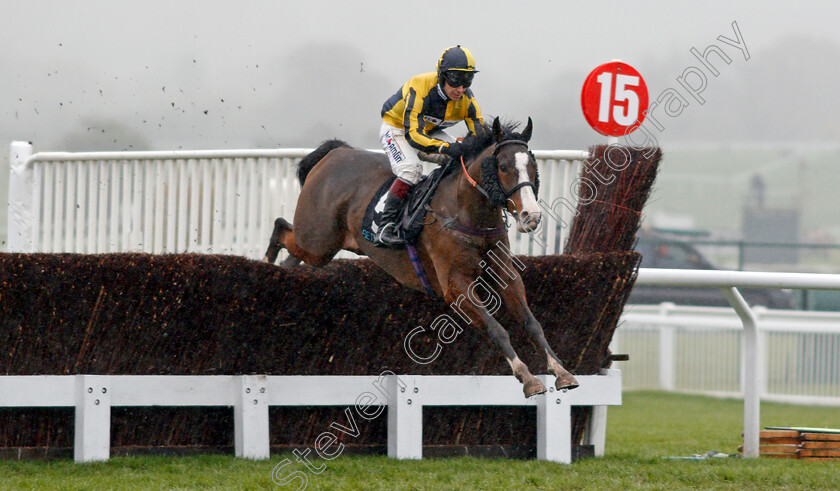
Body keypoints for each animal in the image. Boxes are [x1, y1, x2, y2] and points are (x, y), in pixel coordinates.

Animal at [262, 117, 576, 398]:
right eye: (503, 167)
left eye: (532, 166)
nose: (530, 216)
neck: (466, 213)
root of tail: (335, 153)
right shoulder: (455, 287)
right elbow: (497, 329)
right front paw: (528, 378)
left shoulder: (505, 275)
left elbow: (532, 324)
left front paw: (562, 372)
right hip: (317, 241)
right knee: (280, 227)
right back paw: (266, 264)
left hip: (319, 247)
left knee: (290, 249)